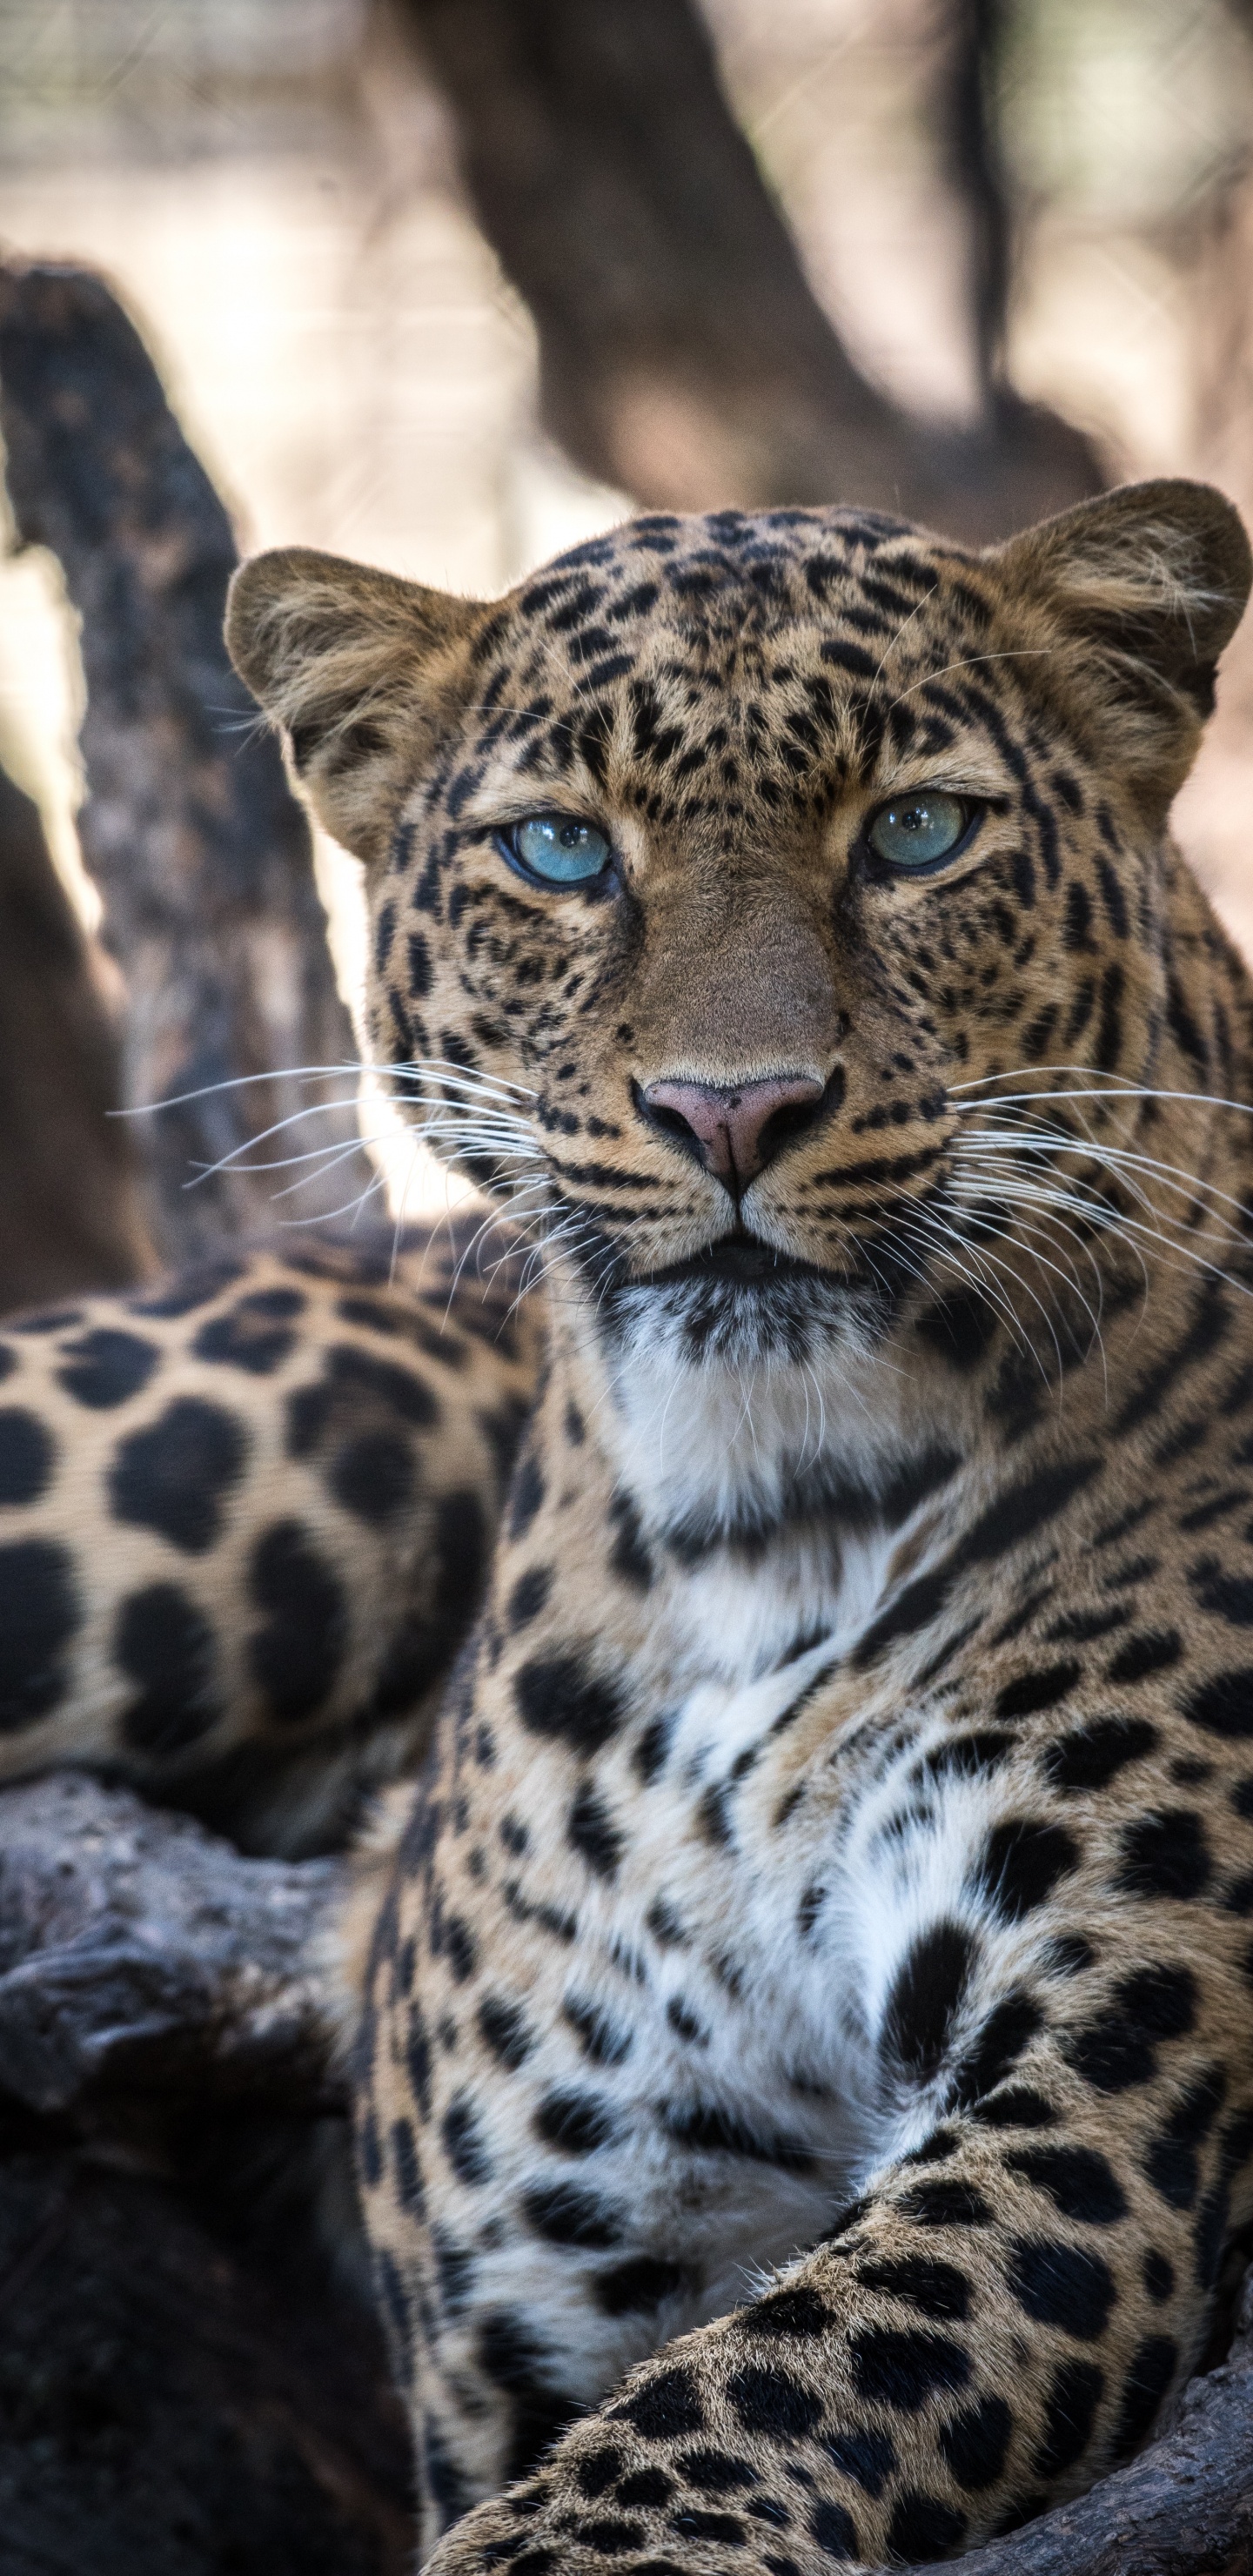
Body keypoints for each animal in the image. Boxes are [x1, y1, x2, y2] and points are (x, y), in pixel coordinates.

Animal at [6, 472, 1253, 2573]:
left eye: (916, 832)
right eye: (563, 851)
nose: (730, 1111)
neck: (763, 1523)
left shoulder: (1123, 2075)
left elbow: (767, 2383)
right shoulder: (560, 2259)